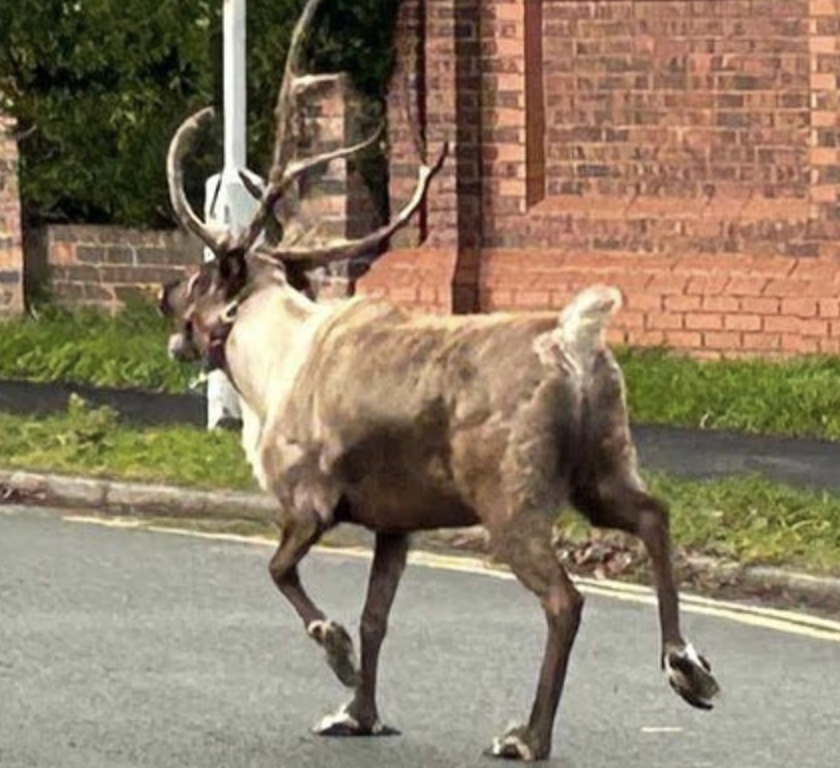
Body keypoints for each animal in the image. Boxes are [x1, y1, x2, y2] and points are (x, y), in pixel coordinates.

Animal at [157, 0, 719, 760]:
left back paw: (528, 735)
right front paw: (358, 712)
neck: (267, 365)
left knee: (565, 600)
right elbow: (376, 617)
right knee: (655, 516)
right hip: (601, 465)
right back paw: (686, 666)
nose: (162, 296)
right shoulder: (397, 522)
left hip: (512, 498)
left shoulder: (310, 500)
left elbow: (281, 573)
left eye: (202, 277)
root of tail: (575, 340)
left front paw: (335, 654)